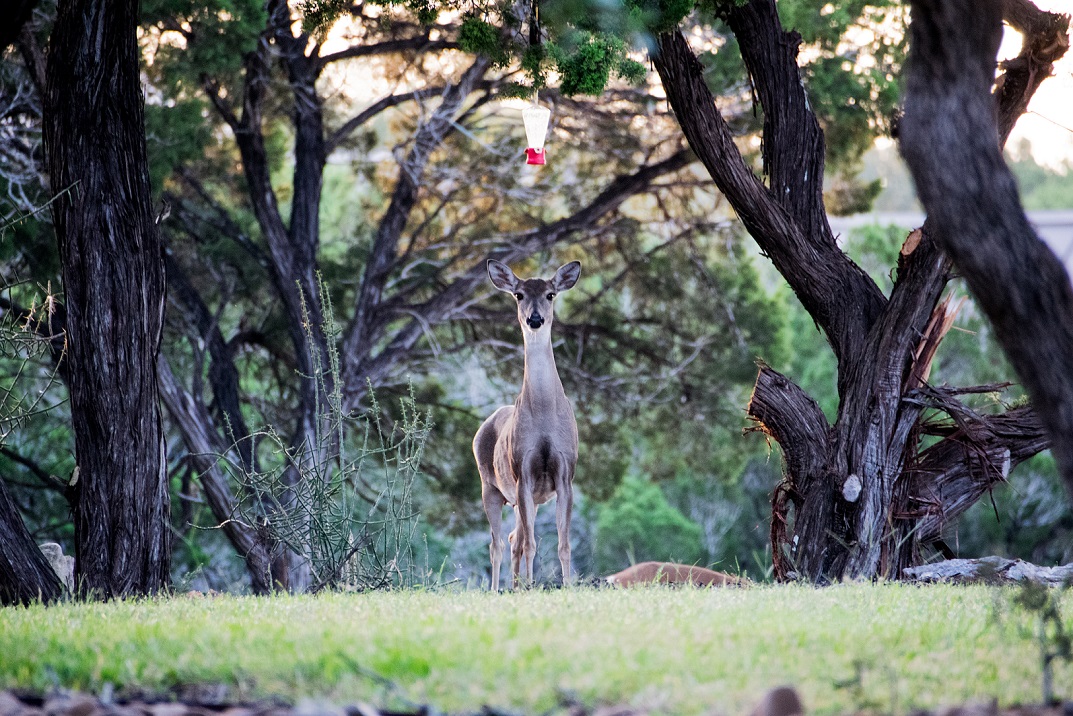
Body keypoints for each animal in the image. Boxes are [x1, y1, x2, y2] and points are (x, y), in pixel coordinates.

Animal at [472, 259, 581, 590]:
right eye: (519, 294)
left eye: (550, 294)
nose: (534, 319)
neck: (545, 417)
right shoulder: (523, 471)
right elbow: (532, 544)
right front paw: (532, 586)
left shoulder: (565, 474)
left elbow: (563, 543)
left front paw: (568, 586)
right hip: (491, 486)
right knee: (497, 543)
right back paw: (498, 589)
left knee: (513, 539)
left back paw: (516, 586)